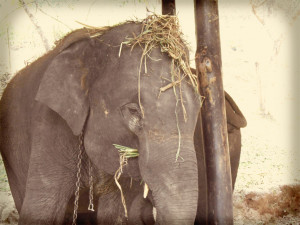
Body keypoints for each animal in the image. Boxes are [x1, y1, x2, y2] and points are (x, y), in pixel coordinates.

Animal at [0, 14, 246, 224]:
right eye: (133, 111)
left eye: (199, 110)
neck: (96, 41)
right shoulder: (50, 125)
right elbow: (42, 208)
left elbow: (116, 213)